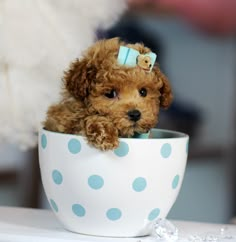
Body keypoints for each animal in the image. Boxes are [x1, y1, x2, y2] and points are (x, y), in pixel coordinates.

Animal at [44, 37, 173, 150]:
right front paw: (107, 134)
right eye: (110, 94)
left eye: (143, 92)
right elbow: (85, 118)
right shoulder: (66, 120)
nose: (135, 114)